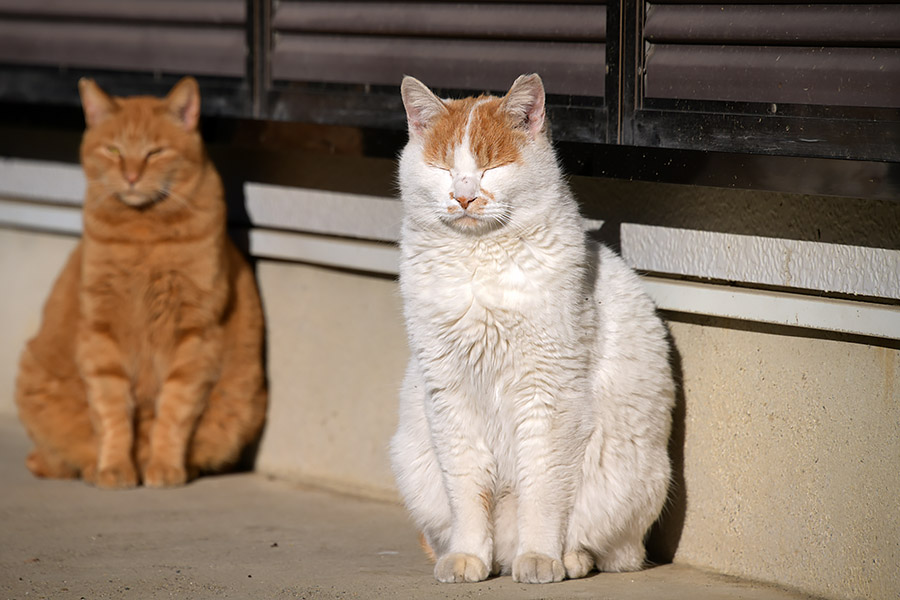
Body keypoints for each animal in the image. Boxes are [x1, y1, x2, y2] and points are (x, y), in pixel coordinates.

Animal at [14, 77, 268, 490]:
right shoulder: (101, 331)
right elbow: (112, 411)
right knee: (59, 458)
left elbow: (174, 412)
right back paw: (90, 466)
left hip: (243, 404)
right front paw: (115, 468)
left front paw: (163, 466)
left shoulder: (194, 331)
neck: (143, 234)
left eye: (155, 153)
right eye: (114, 150)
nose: (131, 176)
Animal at [388, 74, 676, 580]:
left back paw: (569, 559)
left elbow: (542, 488)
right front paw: (466, 557)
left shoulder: (548, 392)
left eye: (492, 167)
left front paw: (540, 557)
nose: (463, 196)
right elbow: (466, 488)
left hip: (630, 482)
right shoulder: (447, 392)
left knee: (613, 551)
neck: (478, 266)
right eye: (443, 168)